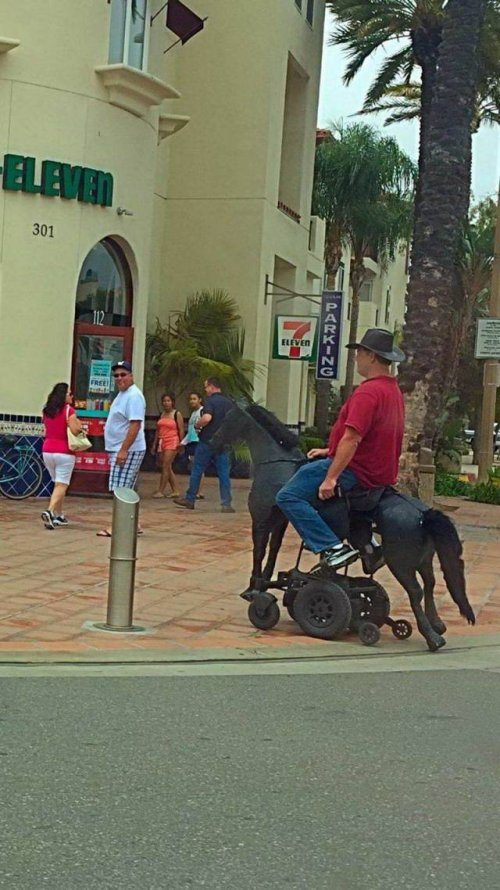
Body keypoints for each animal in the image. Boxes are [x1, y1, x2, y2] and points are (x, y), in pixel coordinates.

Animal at [211, 400, 476, 644]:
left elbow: (259, 551)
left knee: (416, 591)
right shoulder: (280, 520)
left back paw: (431, 636)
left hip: (401, 563)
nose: (212, 441)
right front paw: (265, 584)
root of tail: (423, 514)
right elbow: (273, 551)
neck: (278, 466)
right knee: (430, 584)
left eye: (227, 418)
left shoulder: (262, 518)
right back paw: (436, 624)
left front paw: (254, 591)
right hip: (422, 560)